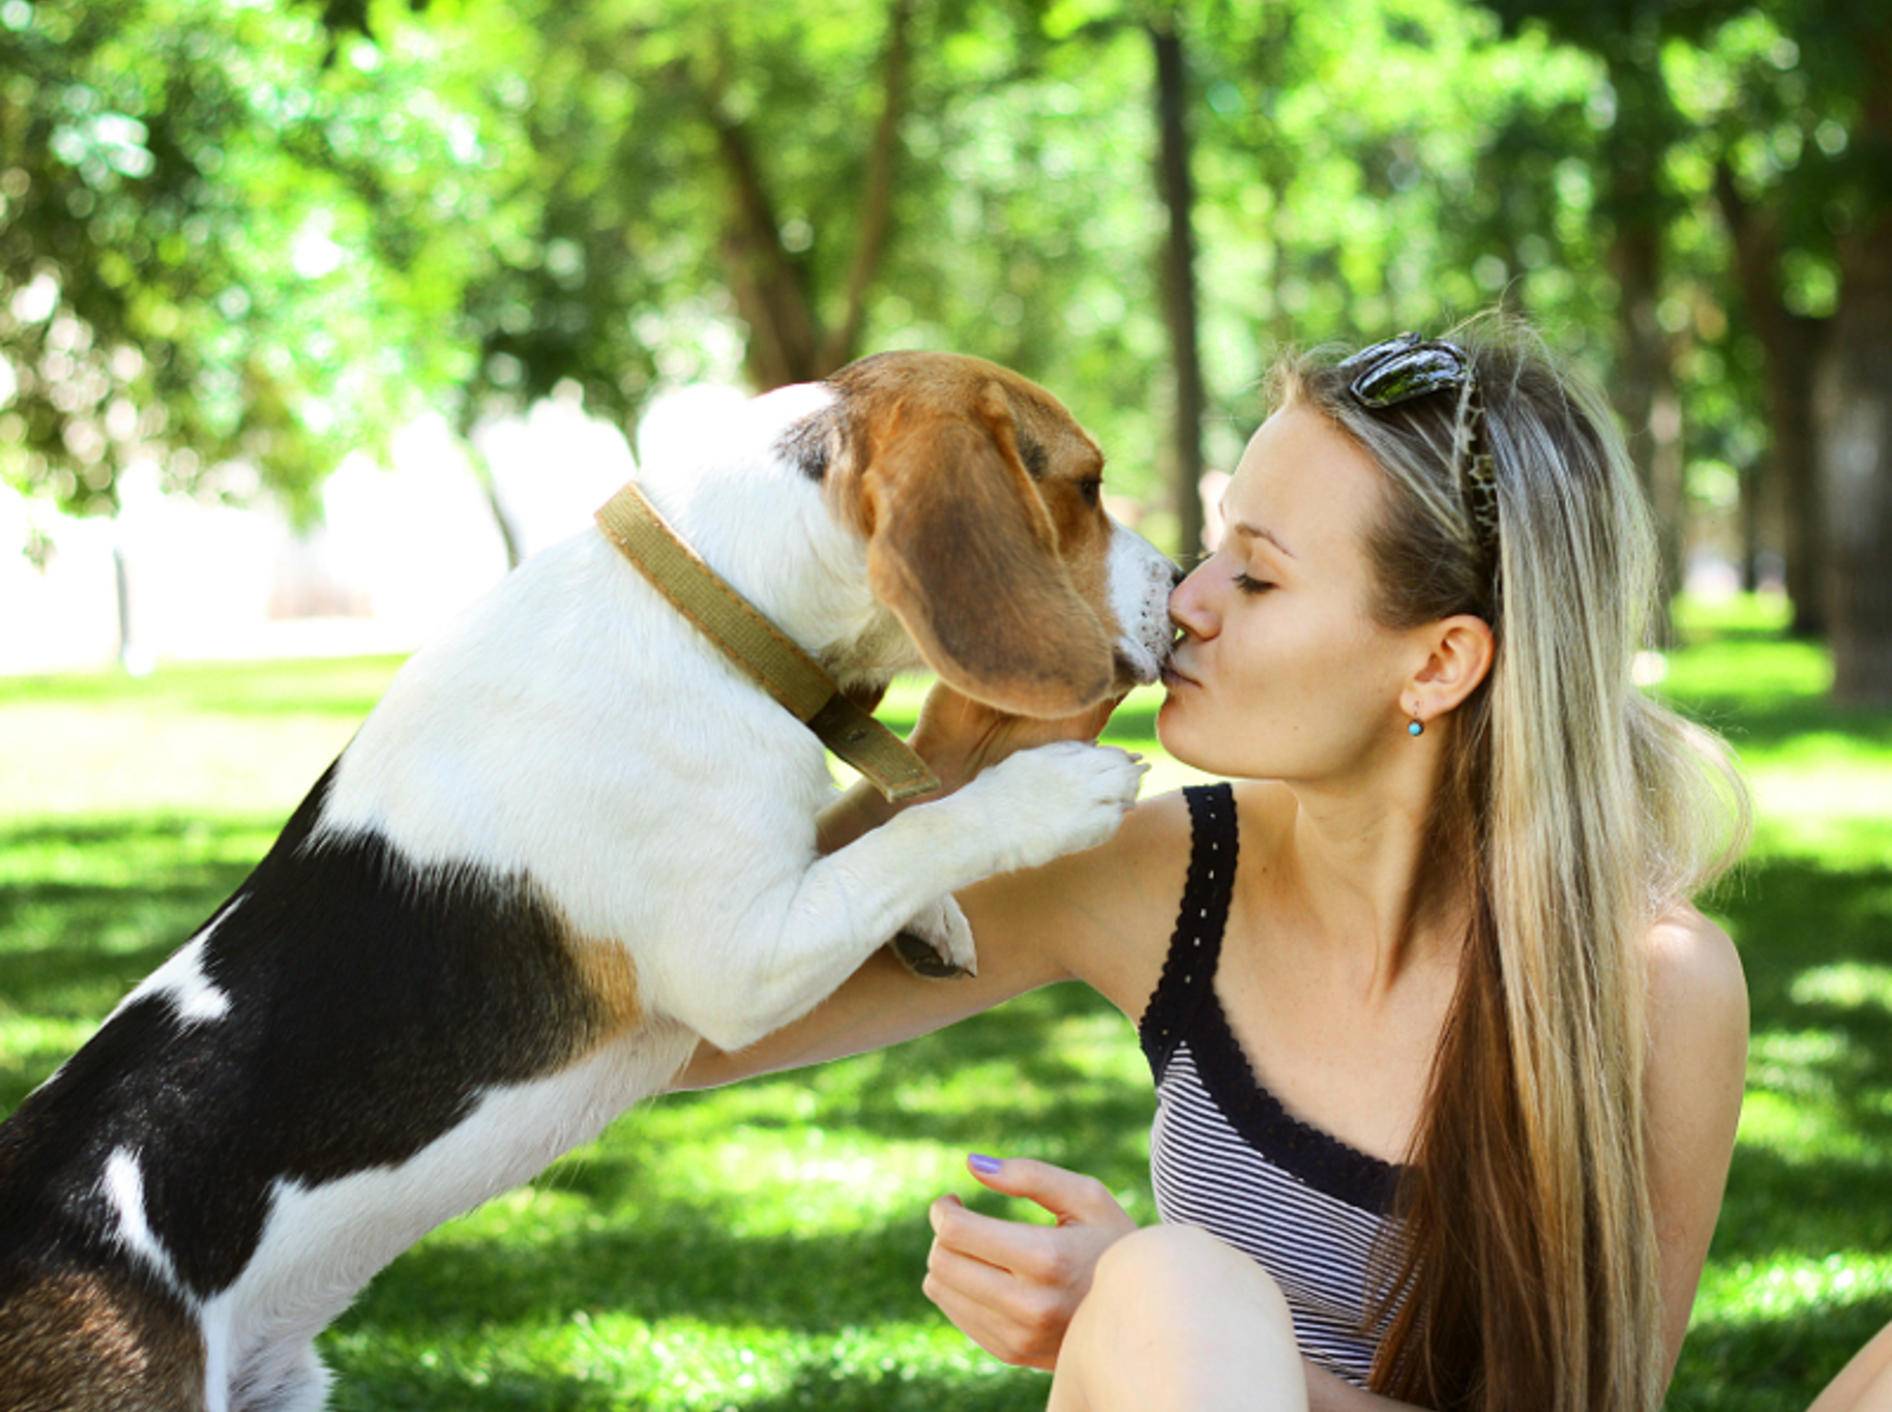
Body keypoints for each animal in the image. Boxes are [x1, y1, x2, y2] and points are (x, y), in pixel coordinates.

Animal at [0, 352, 1180, 1408]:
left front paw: (934, 913)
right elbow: (909, 833)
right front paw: (1047, 792)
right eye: (1085, 486)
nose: (1181, 587)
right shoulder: (735, 963)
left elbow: (867, 826)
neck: (706, 611)